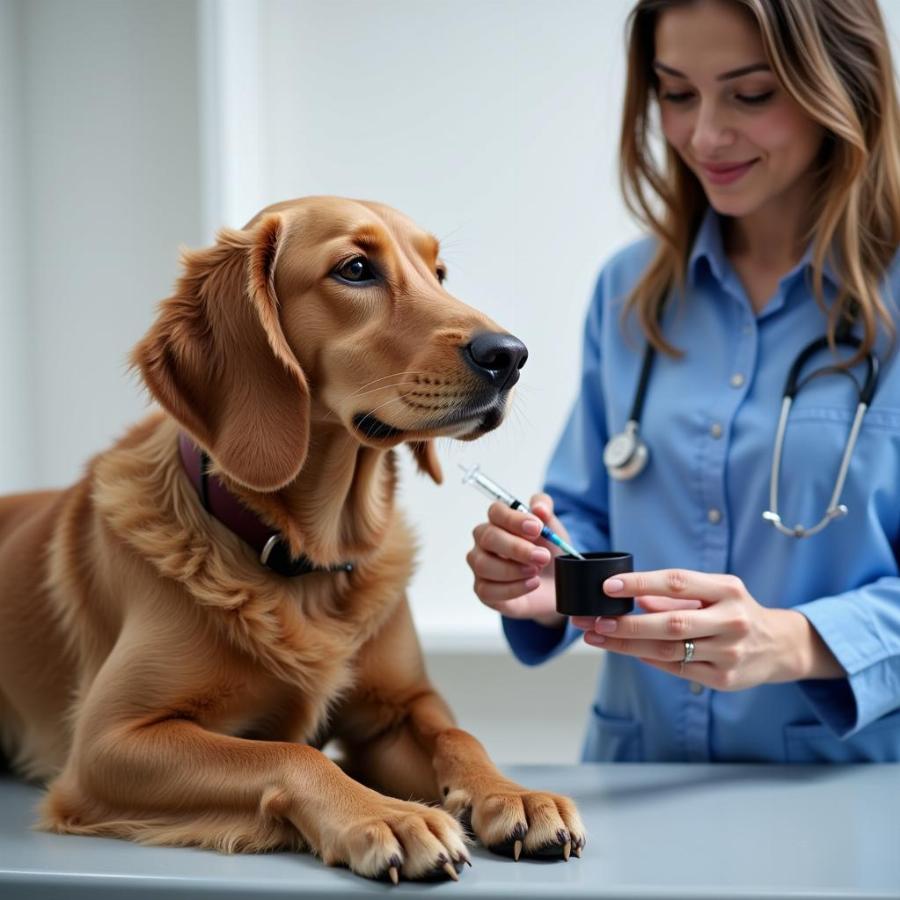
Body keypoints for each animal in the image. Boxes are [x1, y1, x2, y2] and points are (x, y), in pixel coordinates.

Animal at [0, 199, 584, 884]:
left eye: (439, 273)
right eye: (355, 269)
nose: (511, 355)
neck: (307, 559)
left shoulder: (397, 710)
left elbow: (456, 734)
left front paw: (513, 793)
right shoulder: (108, 741)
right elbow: (288, 753)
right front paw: (388, 815)